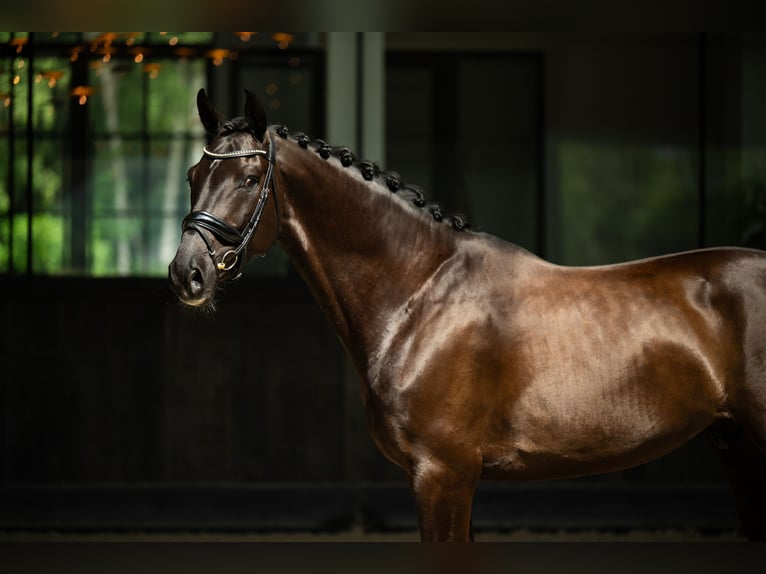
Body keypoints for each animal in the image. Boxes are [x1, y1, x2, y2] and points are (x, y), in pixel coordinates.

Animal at [168, 89, 766, 541]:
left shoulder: (443, 474)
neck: (420, 293)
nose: (186, 273)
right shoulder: (452, 479)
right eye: (194, 175)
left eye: (249, 180)